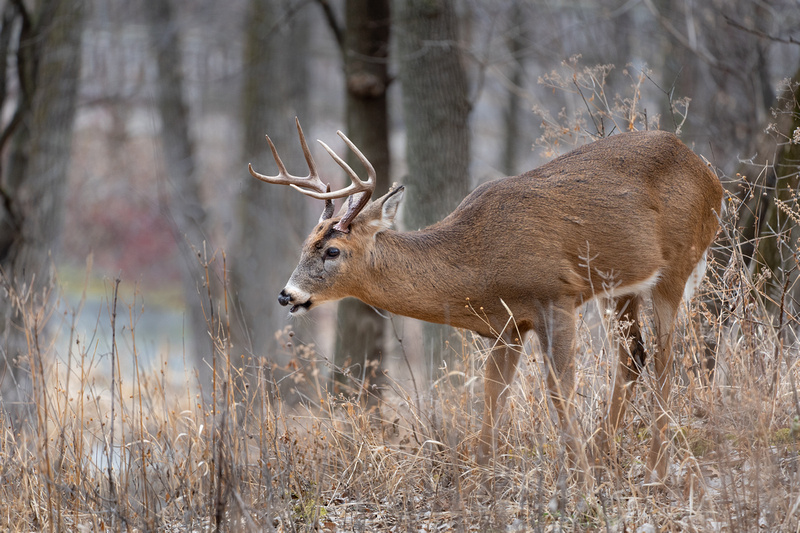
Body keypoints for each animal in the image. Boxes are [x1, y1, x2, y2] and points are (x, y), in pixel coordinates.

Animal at [250, 118, 724, 480]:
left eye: (332, 250)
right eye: (305, 245)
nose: (286, 295)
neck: (476, 265)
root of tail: (710, 174)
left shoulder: (557, 297)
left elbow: (559, 391)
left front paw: (580, 481)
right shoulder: (506, 326)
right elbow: (491, 401)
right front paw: (483, 484)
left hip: (677, 265)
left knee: (665, 357)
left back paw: (655, 469)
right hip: (621, 290)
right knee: (633, 355)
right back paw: (606, 456)